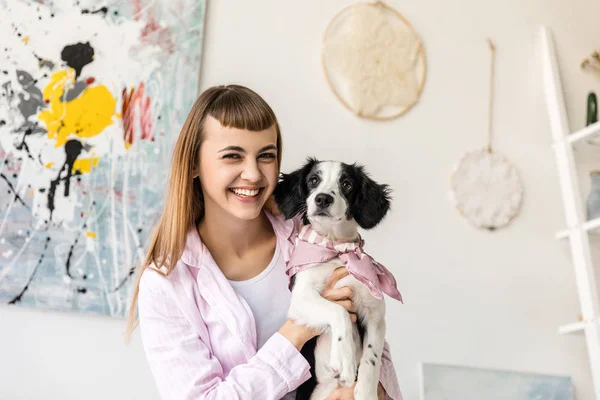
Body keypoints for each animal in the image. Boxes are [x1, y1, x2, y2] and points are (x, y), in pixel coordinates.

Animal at [276, 158, 404, 398]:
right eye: (313, 180)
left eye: (346, 184)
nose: (322, 199)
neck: (336, 248)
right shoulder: (300, 298)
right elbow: (339, 311)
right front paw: (344, 358)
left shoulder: (375, 316)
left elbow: (371, 361)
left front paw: (366, 393)